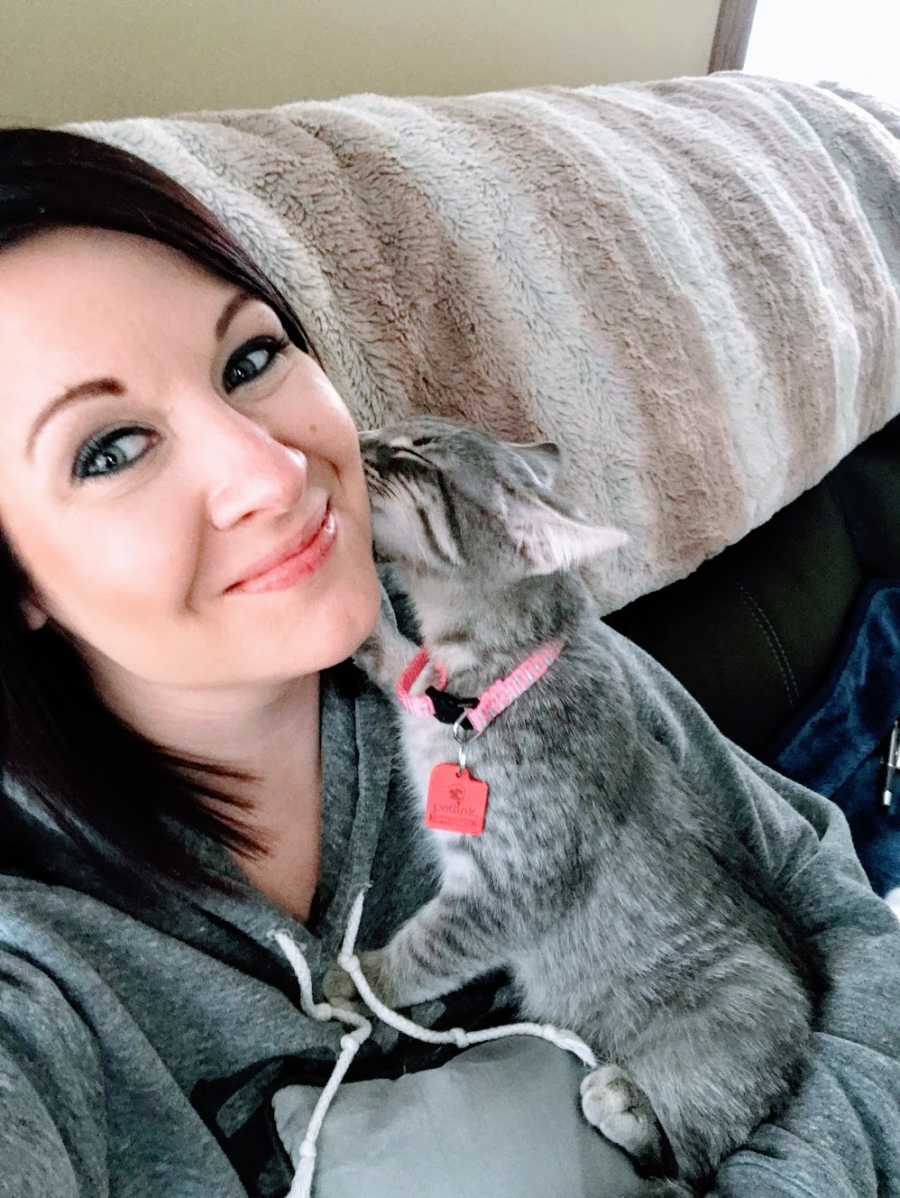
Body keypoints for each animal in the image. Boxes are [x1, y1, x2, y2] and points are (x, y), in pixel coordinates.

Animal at [328, 416, 814, 1193]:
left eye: (415, 452)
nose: (360, 429)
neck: (486, 687)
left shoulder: (507, 893)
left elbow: (424, 948)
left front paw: (360, 977)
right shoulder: (424, 702)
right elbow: (403, 666)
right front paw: (372, 630)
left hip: (728, 1030)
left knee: (685, 1165)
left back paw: (625, 1105)